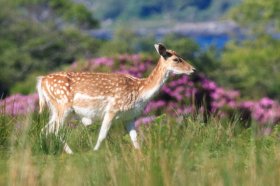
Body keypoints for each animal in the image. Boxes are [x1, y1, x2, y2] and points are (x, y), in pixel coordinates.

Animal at [36, 44, 195, 154]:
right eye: (176, 59)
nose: (193, 69)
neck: (140, 92)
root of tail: (41, 81)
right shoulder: (113, 109)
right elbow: (102, 135)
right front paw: (94, 152)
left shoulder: (129, 116)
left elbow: (135, 138)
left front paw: (140, 155)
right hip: (63, 106)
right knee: (56, 130)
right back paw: (71, 152)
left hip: (56, 110)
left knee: (45, 129)